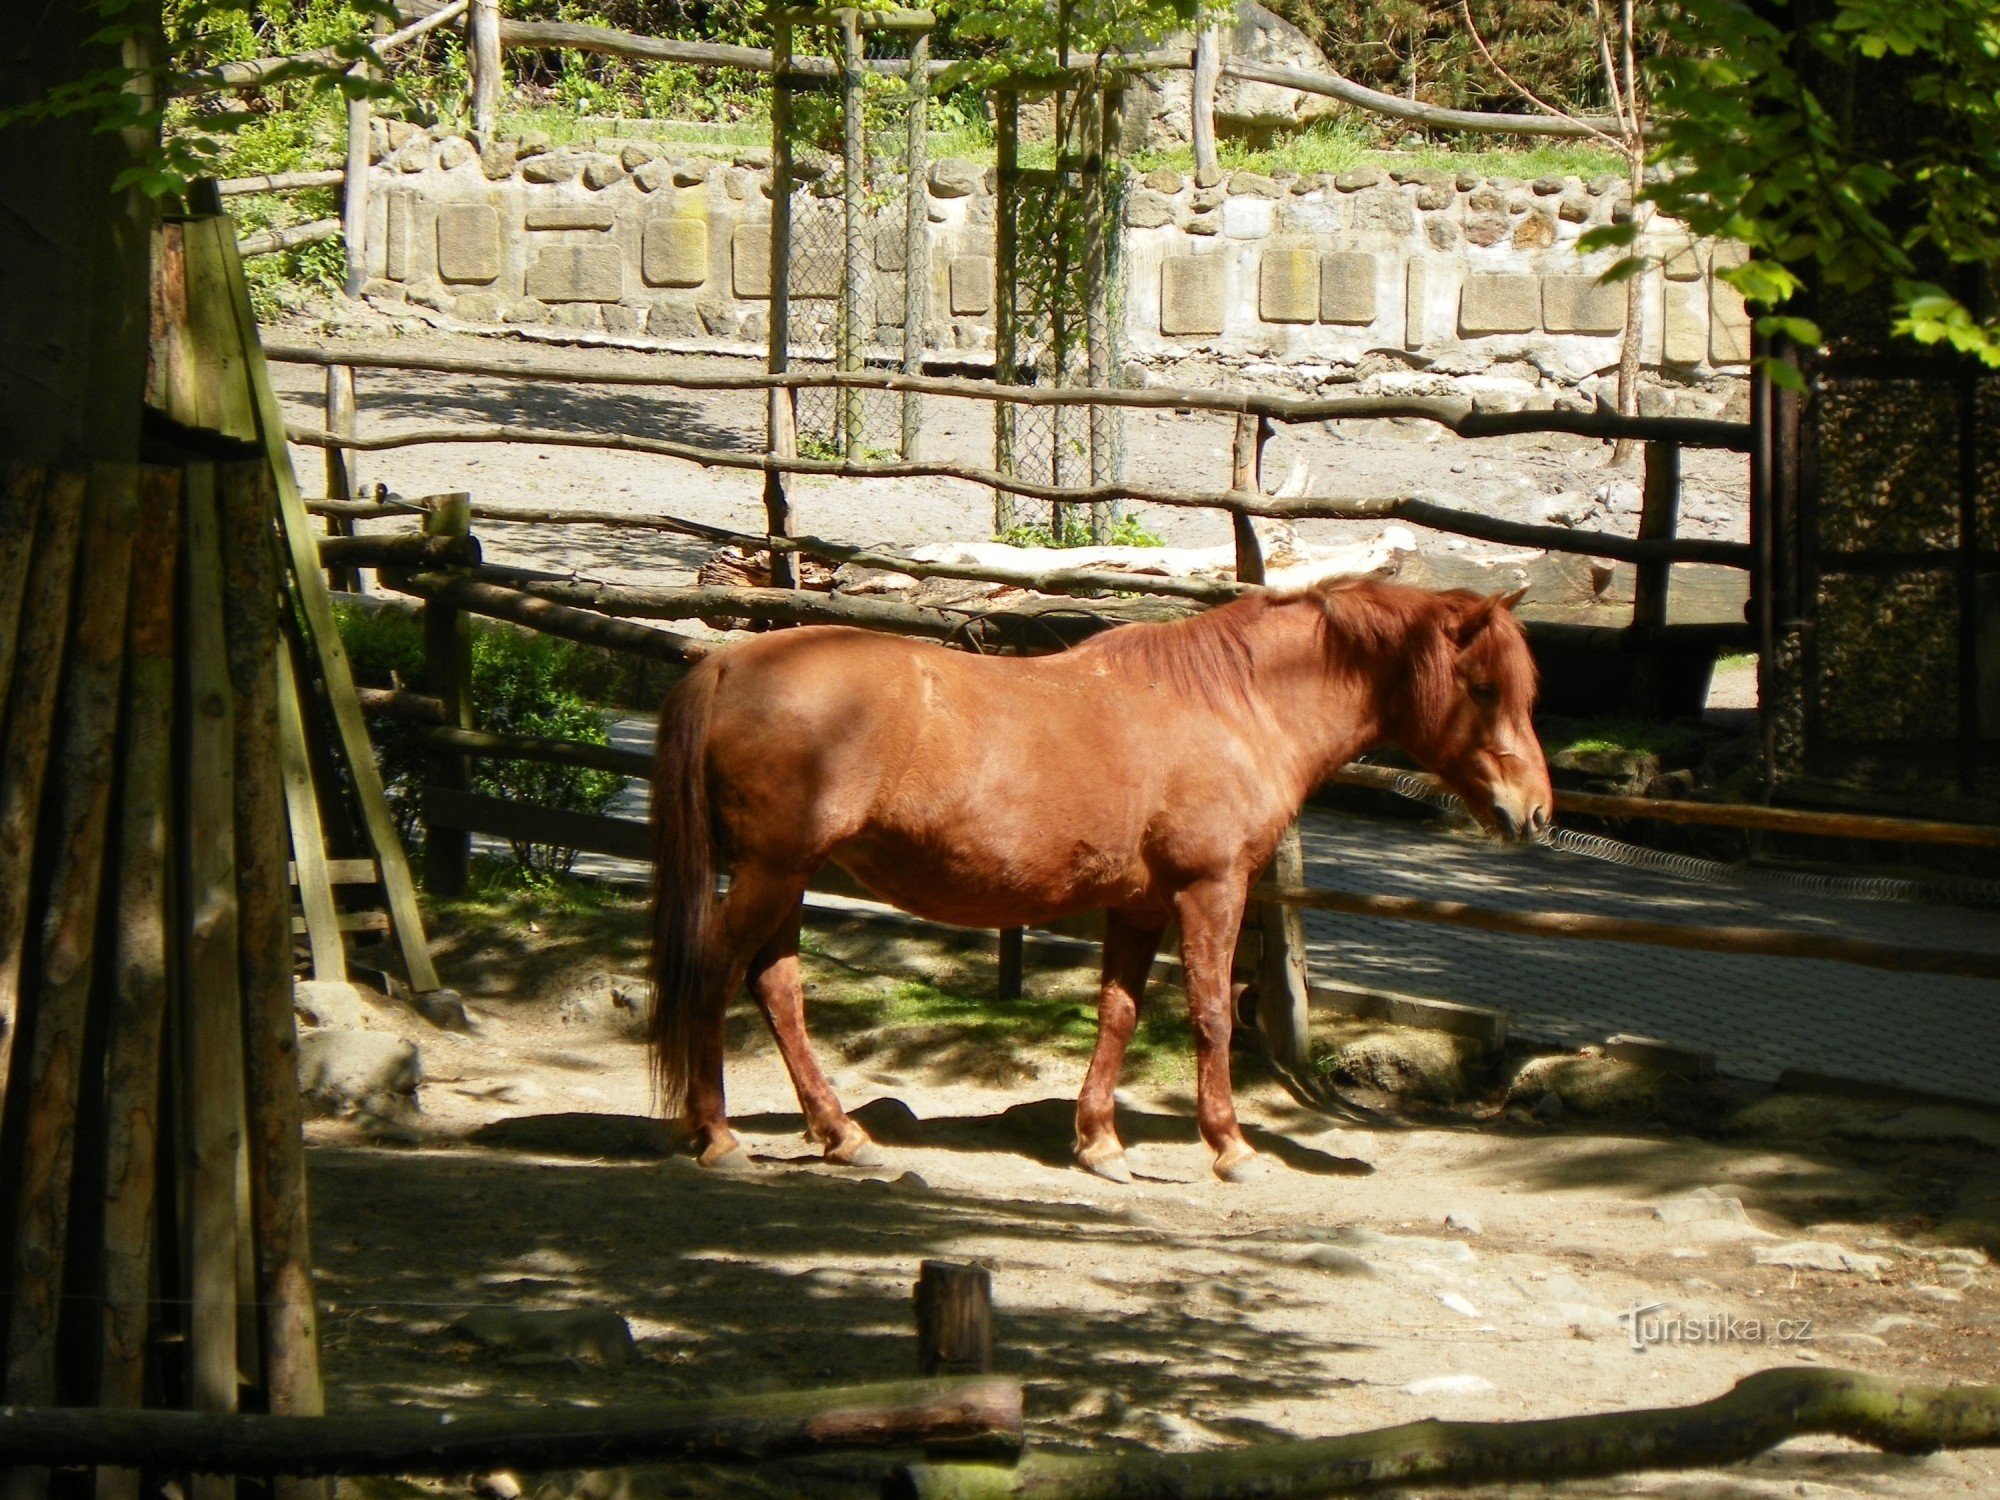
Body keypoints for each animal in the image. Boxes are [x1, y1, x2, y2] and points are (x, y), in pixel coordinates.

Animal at [648, 580, 1552, 1184]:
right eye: (1481, 688)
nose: (1535, 811)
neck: (1233, 707)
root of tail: (726, 664)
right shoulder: (1211, 891)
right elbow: (1212, 1016)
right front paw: (1231, 1146)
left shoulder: (1141, 905)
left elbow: (1118, 1013)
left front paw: (1100, 1143)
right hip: (772, 875)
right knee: (715, 974)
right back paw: (717, 1136)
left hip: (788, 877)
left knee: (776, 991)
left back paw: (842, 1135)